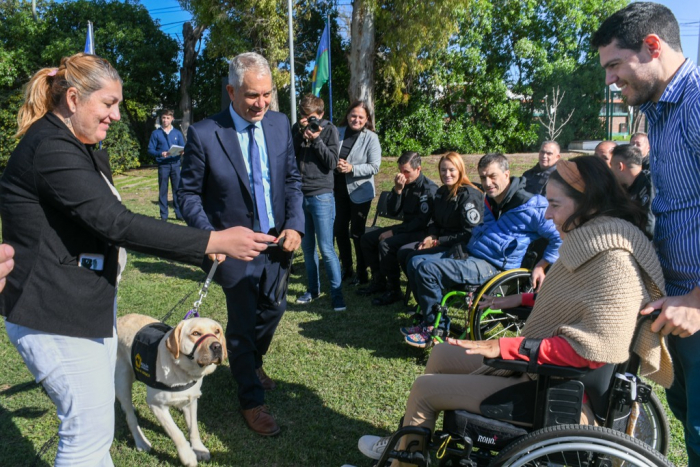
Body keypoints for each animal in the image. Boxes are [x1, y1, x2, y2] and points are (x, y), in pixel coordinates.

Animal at [116, 314, 227, 467]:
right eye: (195, 333)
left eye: (217, 331)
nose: (217, 346)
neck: (182, 372)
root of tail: (120, 319)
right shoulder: (156, 405)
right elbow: (176, 433)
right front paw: (187, 456)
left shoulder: (191, 401)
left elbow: (194, 429)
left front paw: (199, 449)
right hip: (123, 379)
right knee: (130, 417)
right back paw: (140, 441)